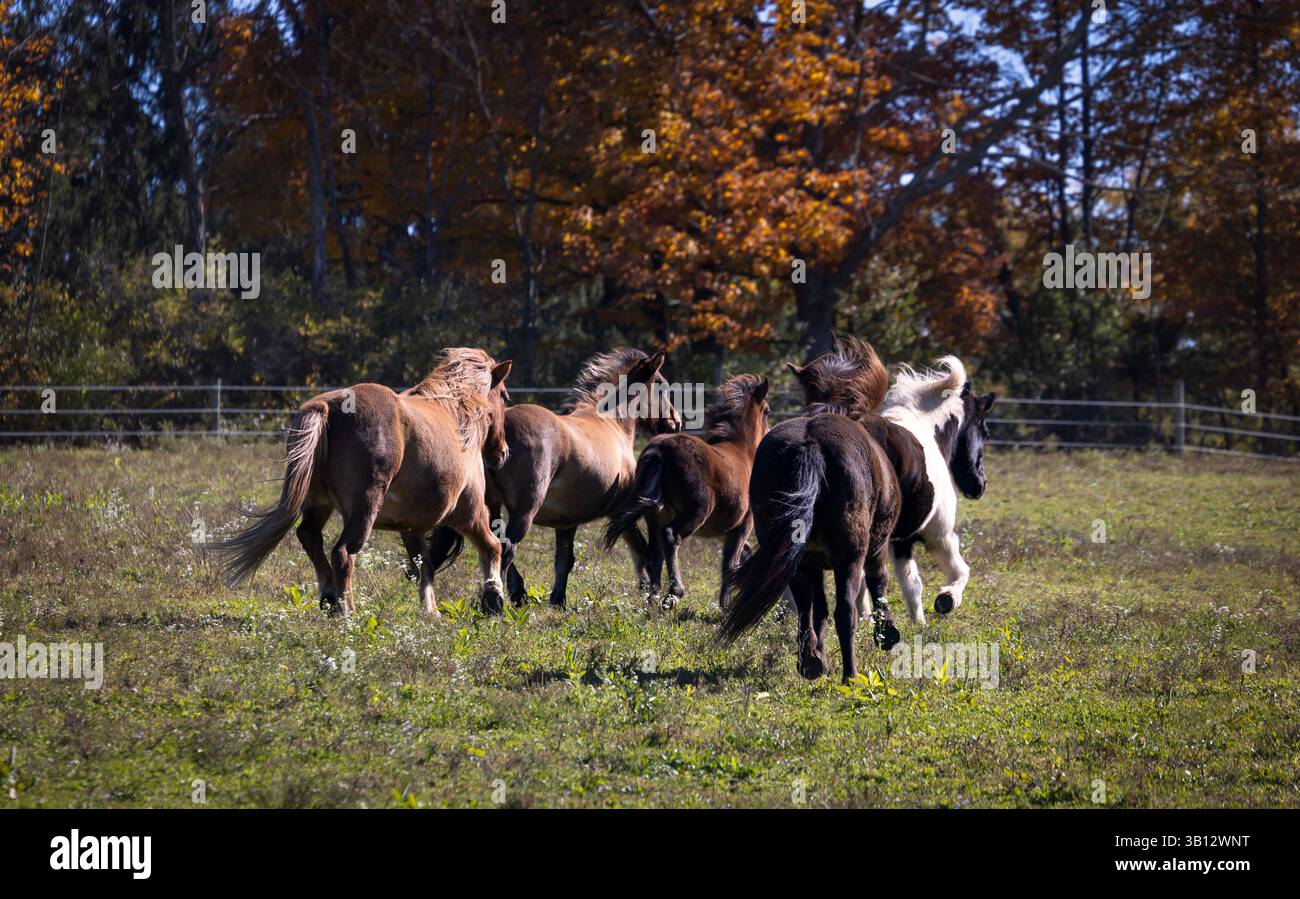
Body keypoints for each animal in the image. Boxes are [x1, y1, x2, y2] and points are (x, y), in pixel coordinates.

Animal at [207, 348, 513, 616]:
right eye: (504, 396)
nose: (502, 453)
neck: (457, 415)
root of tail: (328, 407)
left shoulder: (411, 527)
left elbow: (422, 567)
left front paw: (430, 611)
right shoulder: (470, 513)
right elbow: (491, 547)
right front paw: (494, 599)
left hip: (319, 503)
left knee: (310, 538)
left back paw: (330, 599)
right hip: (365, 507)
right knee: (343, 553)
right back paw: (347, 611)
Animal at [480, 347, 683, 608]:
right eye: (661, 386)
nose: (675, 423)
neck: (611, 421)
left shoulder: (567, 520)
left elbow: (564, 560)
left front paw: (558, 600)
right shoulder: (621, 511)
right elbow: (641, 551)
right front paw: (649, 592)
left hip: (492, 505)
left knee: (494, 546)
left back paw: (515, 594)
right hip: (525, 510)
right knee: (506, 550)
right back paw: (499, 602)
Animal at [602, 374, 770, 609]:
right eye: (768, 411)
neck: (743, 453)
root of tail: (660, 451)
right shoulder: (743, 525)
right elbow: (730, 564)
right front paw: (725, 606)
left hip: (654, 517)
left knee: (654, 553)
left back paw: (653, 600)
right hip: (694, 514)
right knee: (671, 538)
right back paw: (674, 593)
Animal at [719, 340, 900, 682]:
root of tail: (811, 443)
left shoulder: (813, 561)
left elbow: (818, 609)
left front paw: (817, 655)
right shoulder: (876, 546)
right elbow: (878, 582)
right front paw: (887, 634)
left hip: (795, 557)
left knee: (806, 606)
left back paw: (811, 661)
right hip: (849, 557)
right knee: (845, 611)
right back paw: (850, 675)